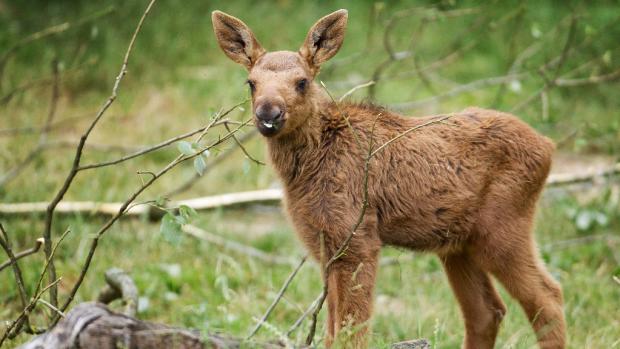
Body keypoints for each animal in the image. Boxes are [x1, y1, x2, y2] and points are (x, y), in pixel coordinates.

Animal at [212, 8, 568, 348]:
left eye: (302, 82)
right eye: (251, 83)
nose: (268, 114)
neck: (310, 166)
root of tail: (549, 147)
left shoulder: (359, 240)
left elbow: (351, 331)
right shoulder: (325, 246)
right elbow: (332, 330)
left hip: (503, 227)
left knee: (548, 297)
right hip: (458, 245)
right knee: (487, 311)